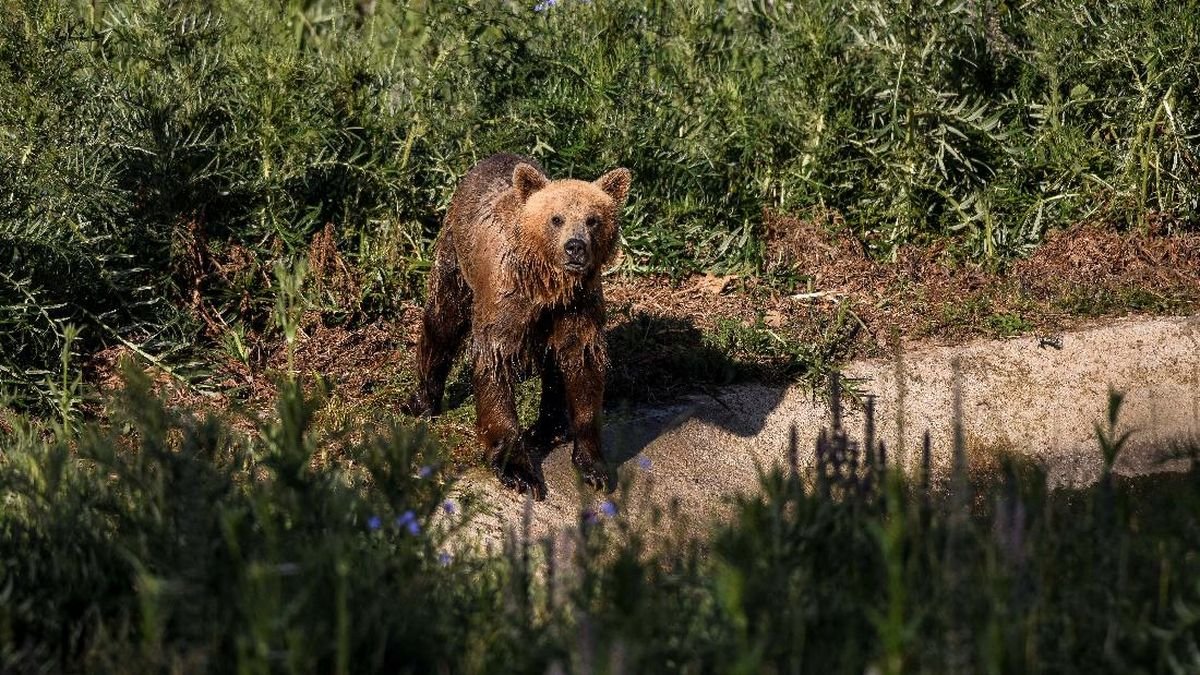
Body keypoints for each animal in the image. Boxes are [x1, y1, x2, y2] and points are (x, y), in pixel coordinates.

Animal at [403, 153, 628, 499]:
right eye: (556, 218)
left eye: (593, 219)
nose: (575, 247)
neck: (547, 285)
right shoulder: (506, 301)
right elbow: (495, 366)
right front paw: (519, 471)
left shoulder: (577, 309)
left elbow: (583, 366)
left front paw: (594, 467)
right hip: (455, 257)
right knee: (442, 321)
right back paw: (423, 402)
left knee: (552, 365)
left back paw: (546, 428)